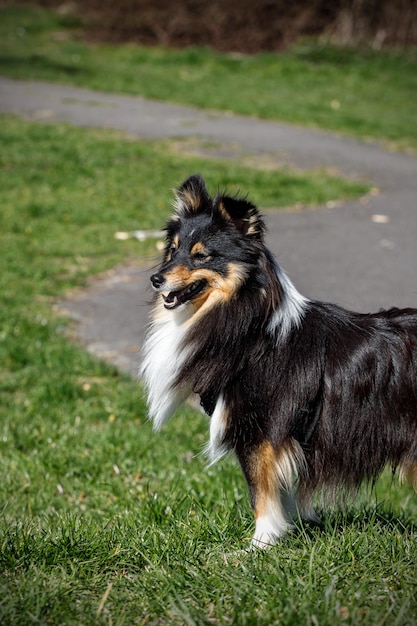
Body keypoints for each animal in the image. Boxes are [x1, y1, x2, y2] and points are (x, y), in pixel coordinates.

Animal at [141, 173, 416, 544]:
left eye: (202, 256)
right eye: (172, 250)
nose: (156, 279)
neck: (250, 330)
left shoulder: (261, 432)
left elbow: (261, 494)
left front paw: (259, 544)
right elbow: (278, 493)